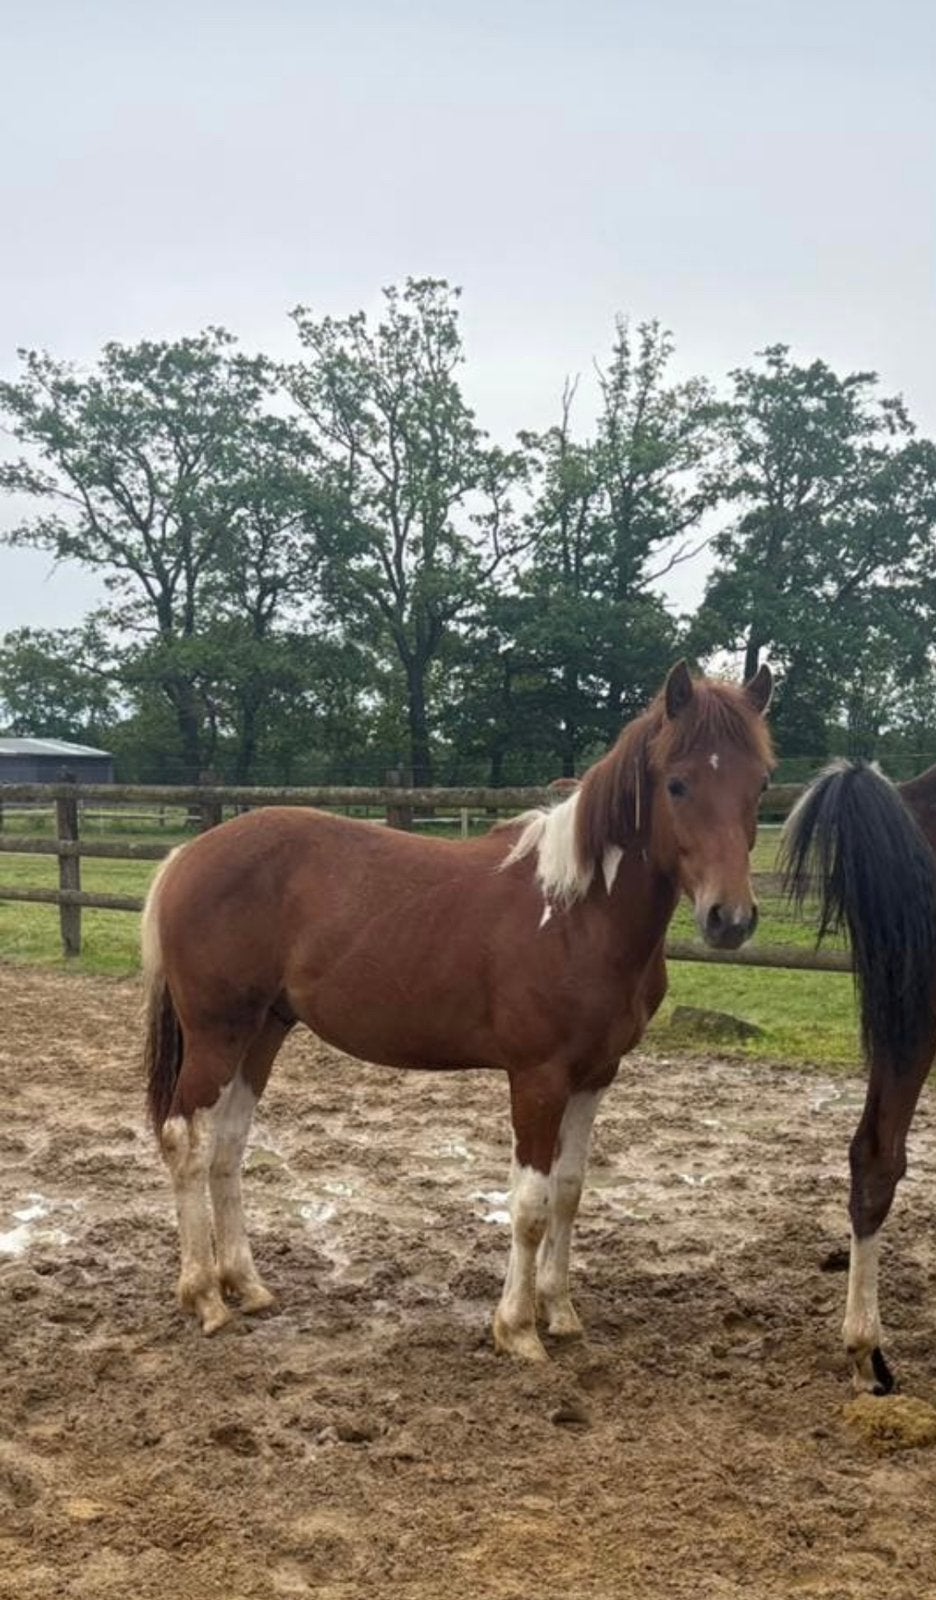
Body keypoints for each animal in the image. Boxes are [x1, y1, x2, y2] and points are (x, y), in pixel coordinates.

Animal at [143, 660, 774, 1359]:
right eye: (677, 783)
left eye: (761, 783)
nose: (729, 918)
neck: (577, 915)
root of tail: (187, 856)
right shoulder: (538, 1077)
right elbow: (529, 1203)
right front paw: (518, 1329)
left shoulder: (596, 1076)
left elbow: (569, 1193)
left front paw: (561, 1312)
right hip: (216, 1033)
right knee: (185, 1142)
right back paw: (205, 1297)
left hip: (262, 1033)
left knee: (227, 1147)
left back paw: (247, 1286)